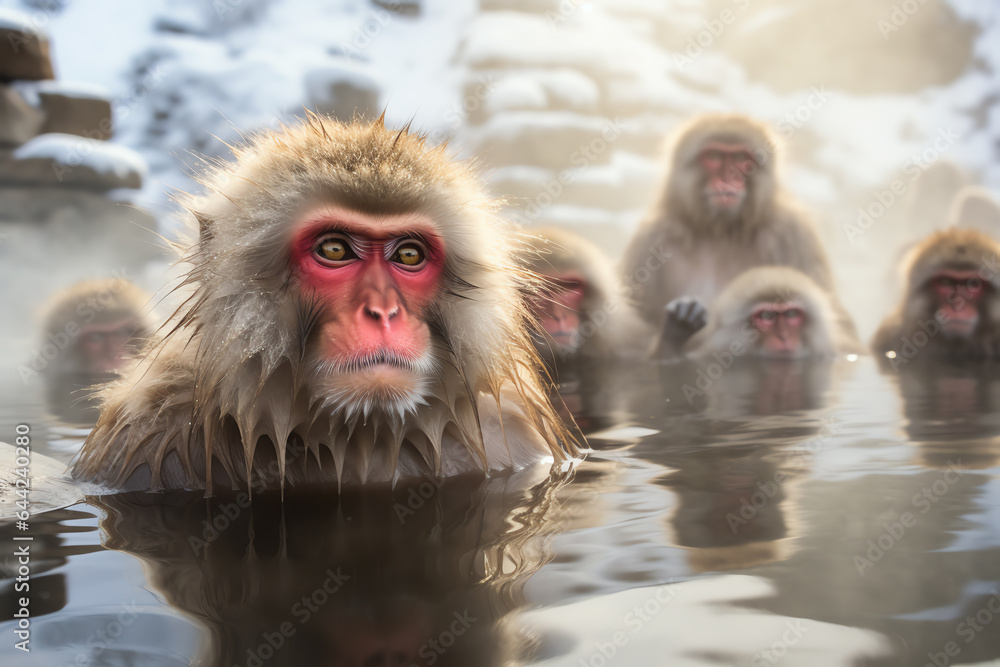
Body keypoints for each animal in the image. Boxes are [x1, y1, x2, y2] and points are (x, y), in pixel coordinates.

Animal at [619, 113, 857, 349]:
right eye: (714, 156)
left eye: (742, 158)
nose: (729, 177)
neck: (722, 232)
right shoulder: (650, 241)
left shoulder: (793, 232)